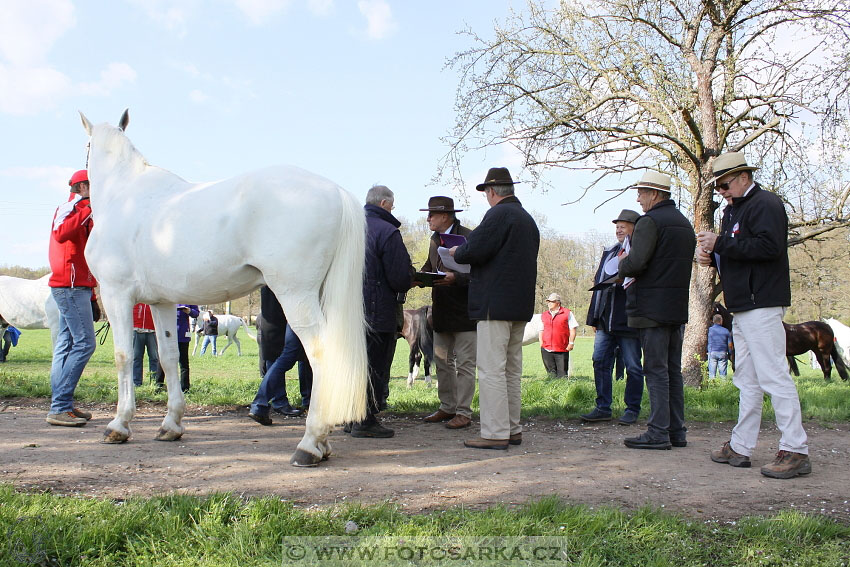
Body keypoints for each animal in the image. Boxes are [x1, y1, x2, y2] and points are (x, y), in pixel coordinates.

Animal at [79, 110, 368, 466]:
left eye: (86, 147)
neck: (125, 196)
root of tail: (335, 190)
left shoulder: (116, 295)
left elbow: (123, 356)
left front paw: (119, 425)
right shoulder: (161, 303)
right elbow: (169, 357)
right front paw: (171, 424)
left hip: (296, 296)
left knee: (322, 355)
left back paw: (310, 443)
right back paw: (321, 443)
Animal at [712, 302, 844, 382]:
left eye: (713, 309)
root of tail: (827, 326)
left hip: (824, 351)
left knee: (827, 367)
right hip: (817, 351)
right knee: (823, 367)